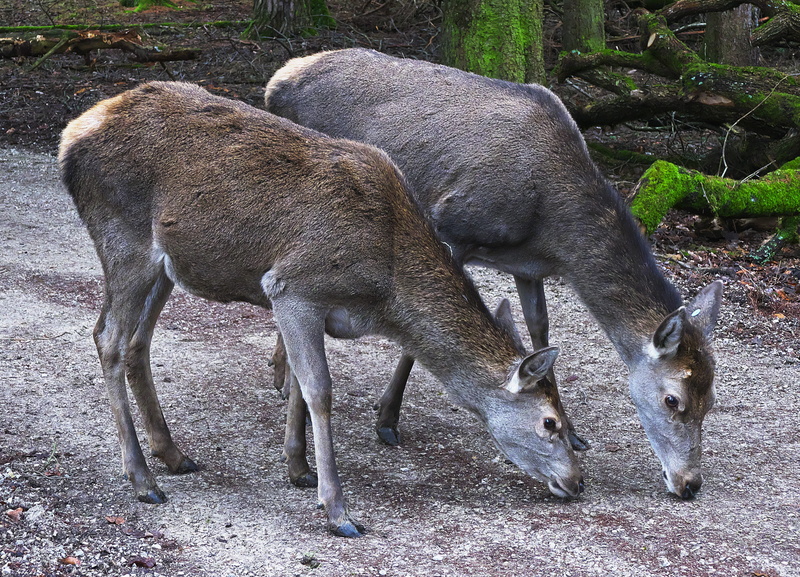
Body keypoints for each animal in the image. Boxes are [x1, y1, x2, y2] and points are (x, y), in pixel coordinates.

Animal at [58, 81, 583, 538]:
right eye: (550, 423)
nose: (578, 481)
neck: (385, 290)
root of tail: (72, 136)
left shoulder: (309, 306)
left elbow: (296, 382)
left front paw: (298, 468)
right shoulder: (292, 286)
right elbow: (319, 389)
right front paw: (337, 510)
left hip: (167, 265)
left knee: (137, 342)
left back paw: (173, 454)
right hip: (123, 239)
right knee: (107, 337)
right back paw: (143, 480)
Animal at [264, 48, 724, 501]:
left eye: (712, 400)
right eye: (672, 399)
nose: (690, 483)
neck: (551, 225)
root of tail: (276, 81)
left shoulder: (527, 265)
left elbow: (540, 327)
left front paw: (574, 432)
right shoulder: (451, 227)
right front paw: (387, 419)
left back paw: (282, 373)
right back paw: (287, 380)